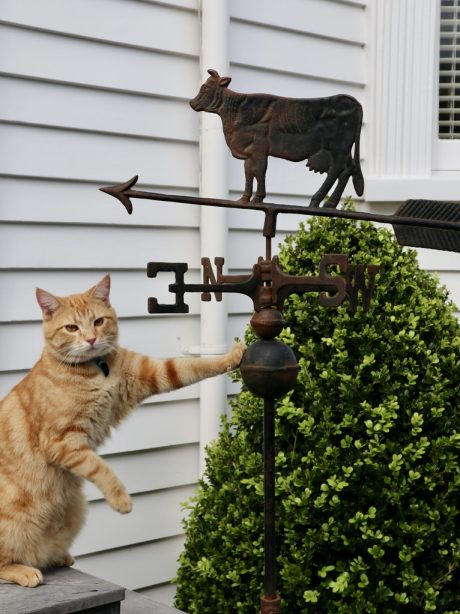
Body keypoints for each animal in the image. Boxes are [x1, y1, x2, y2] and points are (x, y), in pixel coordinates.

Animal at [0, 276, 244, 588]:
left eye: (99, 321)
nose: (91, 339)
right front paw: (122, 501)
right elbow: (100, 468)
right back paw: (24, 570)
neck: (96, 370)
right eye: (72, 328)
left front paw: (232, 355)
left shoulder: (153, 373)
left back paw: (57, 557)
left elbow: (193, 365)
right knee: (4, 560)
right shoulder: (63, 442)